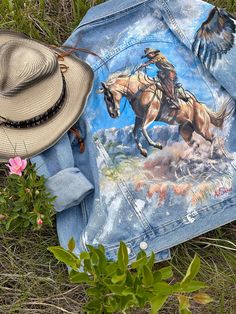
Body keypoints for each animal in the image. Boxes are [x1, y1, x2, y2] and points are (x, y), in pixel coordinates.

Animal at [97, 70, 230, 156]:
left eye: (108, 97)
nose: (113, 114)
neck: (139, 90)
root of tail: (201, 107)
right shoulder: (139, 118)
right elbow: (134, 132)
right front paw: (143, 151)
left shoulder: (151, 114)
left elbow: (143, 129)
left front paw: (156, 145)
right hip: (185, 131)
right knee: (195, 144)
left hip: (201, 129)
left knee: (212, 138)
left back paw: (213, 153)